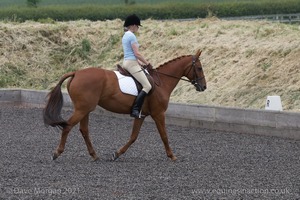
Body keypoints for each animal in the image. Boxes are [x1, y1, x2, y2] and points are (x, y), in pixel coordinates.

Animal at [42, 49, 206, 162]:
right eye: (199, 68)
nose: (203, 87)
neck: (162, 83)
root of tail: (76, 73)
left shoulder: (141, 115)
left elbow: (133, 136)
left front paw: (117, 154)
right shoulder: (158, 114)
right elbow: (164, 135)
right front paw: (172, 156)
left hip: (85, 109)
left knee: (84, 130)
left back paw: (94, 155)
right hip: (82, 109)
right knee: (68, 126)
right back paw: (57, 153)